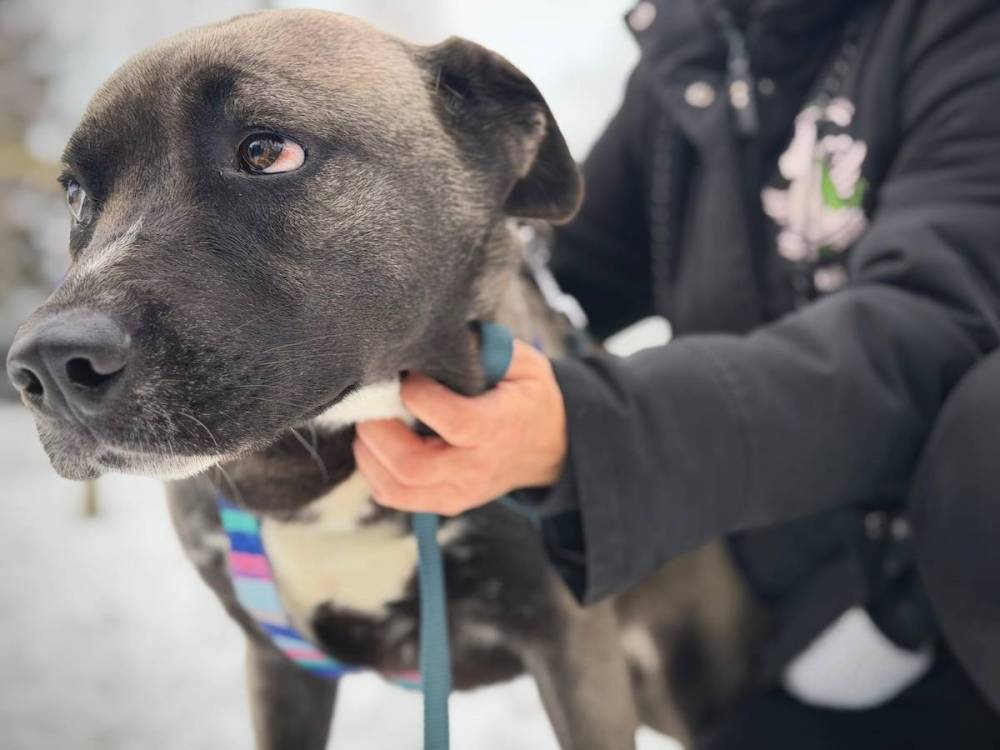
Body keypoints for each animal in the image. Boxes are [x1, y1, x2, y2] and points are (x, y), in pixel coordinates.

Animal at [6, 11, 766, 749]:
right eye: (75, 192)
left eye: (267, 151)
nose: (47, 365)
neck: (331, 454)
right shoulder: (280, 666)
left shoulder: (572, 650)